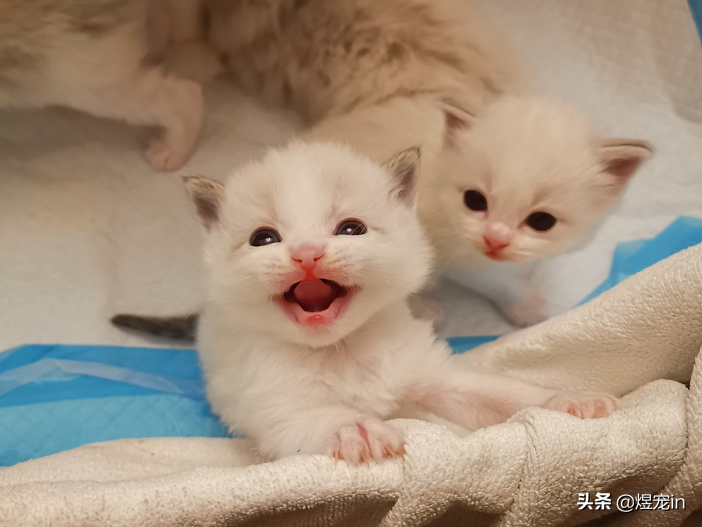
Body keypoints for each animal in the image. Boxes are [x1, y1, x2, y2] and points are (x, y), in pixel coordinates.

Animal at [113, 141, 620, 466]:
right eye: (264, 239)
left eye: (351, 229)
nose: (307, 253)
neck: (340, 351)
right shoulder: (271, 409)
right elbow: (310, 421)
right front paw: (354, 428)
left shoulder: (427, 370)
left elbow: (495, 392)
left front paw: (566, 400)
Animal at [155, 0, 656, 326]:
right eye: (475, 200)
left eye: (542, 221)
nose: (495, 239)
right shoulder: (452, 251)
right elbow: (488, 281)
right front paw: (524, 304)